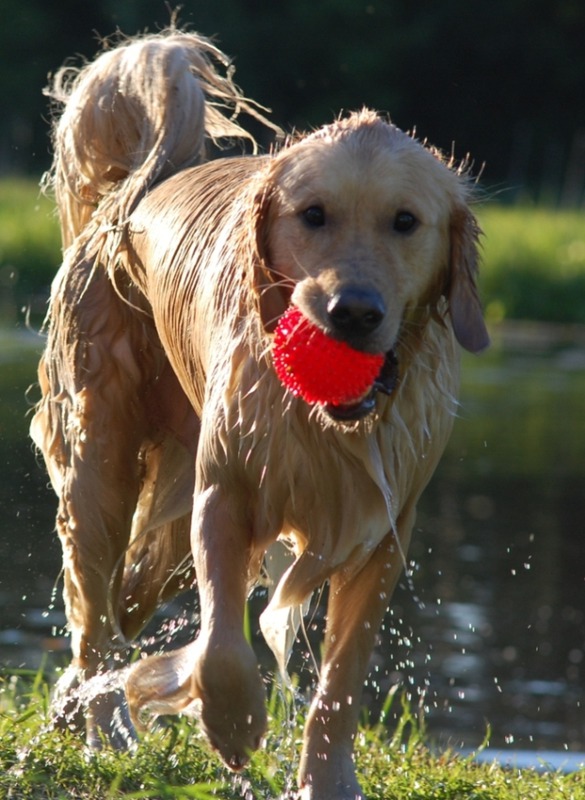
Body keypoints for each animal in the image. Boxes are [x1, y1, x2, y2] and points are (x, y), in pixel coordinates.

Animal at [32, 28, 488, 796]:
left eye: (405, 222)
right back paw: (106, 729)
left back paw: (73, 706)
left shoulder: (383, 532)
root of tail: (144, 181)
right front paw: (234, 724)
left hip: (167, 531)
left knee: (122, 600)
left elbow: (340, 681)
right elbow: (221, 642)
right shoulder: (224, 493)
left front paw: (324, 779)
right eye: (313, 215)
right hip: (101, 464)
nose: (351, 312)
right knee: (94, 615)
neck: (324, 423)